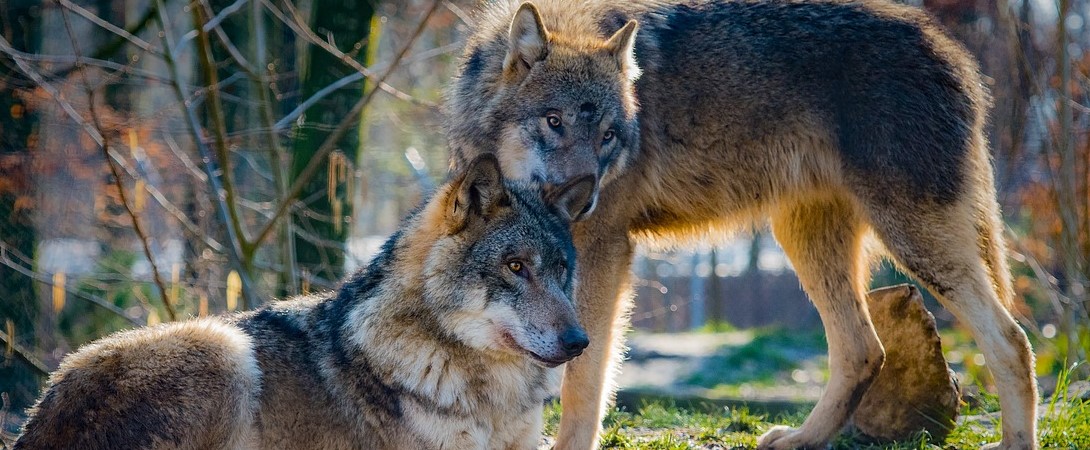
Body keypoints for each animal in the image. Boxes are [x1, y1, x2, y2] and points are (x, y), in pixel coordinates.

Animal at [446, 1, 1038, 449]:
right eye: (554, 122)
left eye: (609, 136)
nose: (585, 198)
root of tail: (953, 52)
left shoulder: (603, 250)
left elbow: (583, 378)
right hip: (806, 241)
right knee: (864, 350)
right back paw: (801, 439)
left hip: (914, 241)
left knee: (1011, 340)